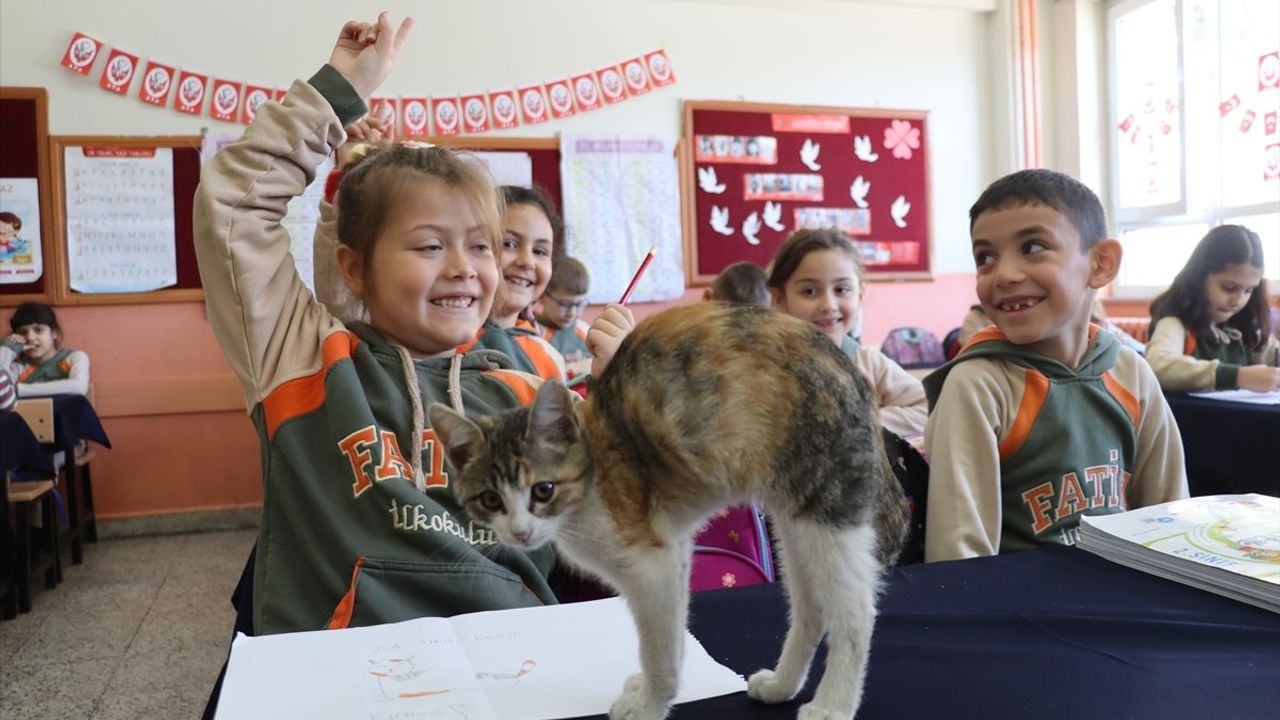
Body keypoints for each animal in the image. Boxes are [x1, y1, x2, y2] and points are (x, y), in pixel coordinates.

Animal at [430, 302, 911, 717]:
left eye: (543, 490)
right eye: (490, 500)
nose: (520, 532)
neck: (592, 471)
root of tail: (849, 371)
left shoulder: (650, 564)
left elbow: (656, 646)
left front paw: (650, 705)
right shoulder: (673, 552)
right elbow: (674, 633)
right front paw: (652, 688)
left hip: (825, 507)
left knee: (855, 612)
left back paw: (833, 706)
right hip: (792, 513)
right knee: (810, 605)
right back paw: (781, 685)